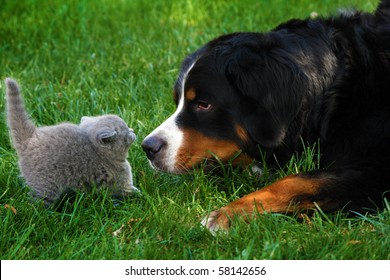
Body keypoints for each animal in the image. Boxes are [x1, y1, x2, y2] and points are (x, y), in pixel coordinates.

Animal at [4, 77, 139, 207]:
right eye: (126, 133)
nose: (133, 131)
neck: (101, 154)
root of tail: (30, 139)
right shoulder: (120, 181)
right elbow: (127, 192)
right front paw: (139, 195)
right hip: (45, 185)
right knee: (38, 202)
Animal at [142, 0, 390, 232]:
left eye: (204, 104)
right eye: (178, 101)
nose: (148, 147)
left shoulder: (378, 170)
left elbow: (296, 181)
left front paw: (227, 214)